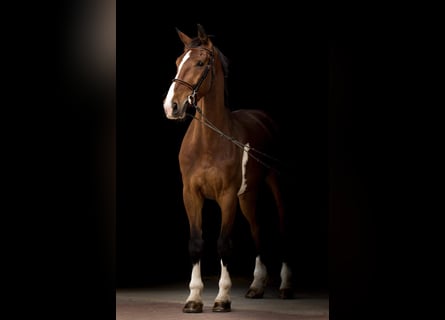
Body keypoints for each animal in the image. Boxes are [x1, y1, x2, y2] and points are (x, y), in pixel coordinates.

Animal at [161, 24, 294, 312]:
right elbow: (196, 243)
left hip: (274, 185)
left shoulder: (227, 197)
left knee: (282, 228)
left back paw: (286, 286)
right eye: (178, 62)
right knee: (257, 230)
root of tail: (264, 118)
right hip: (248, 197)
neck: (208, 143)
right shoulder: (191, 195)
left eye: (200, 63)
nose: (171, 106)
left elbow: (223, 244)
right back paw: (256, 286)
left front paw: (222, 298)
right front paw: (194, 298)